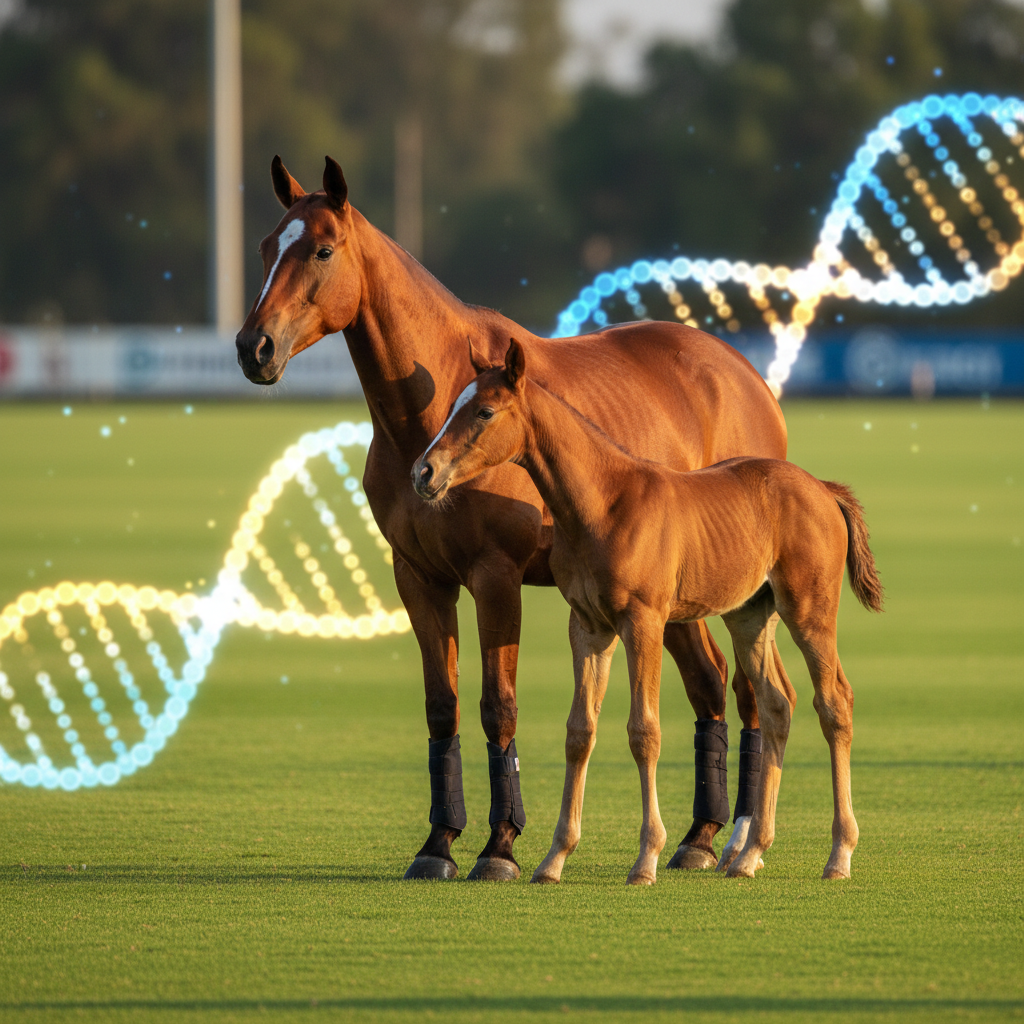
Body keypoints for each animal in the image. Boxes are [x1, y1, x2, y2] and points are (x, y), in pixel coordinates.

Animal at [235, 155, 789, 881]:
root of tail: (745, 377)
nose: (254, 347)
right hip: (675, 600)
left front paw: (500, 846)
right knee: (709, 682)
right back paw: (700, 834)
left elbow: (499, 706)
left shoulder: (495, 577)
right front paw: (438, 843)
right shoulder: (420, 578)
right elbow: (442, 706)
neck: (434, 404)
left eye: (323, 249)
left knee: (751, 692)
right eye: (268, 246)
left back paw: (741, 837)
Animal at [412, 339, 882, 883]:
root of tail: (823, 488)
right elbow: (579, 732)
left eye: (484, 411)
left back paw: (839, 853)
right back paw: (749, 855)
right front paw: (554, 858)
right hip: (749, 615)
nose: (423, 472)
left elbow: (644, 731)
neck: (604, 502)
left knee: (834, 702)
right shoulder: (589, 627)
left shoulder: (644, 622)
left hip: (809, 609)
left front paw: (646, 858)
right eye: (451, 406)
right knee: (777, 704)